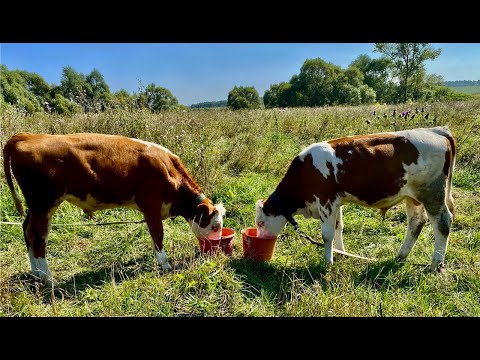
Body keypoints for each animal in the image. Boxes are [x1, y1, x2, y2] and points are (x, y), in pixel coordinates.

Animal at [3, 131, 225, 286]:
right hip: (44, 204)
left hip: (35, 207)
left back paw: (36, 273)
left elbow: (154, 238)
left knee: (26, 230)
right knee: (38, 237)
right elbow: (158, 235)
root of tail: (28, 136)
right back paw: (48, 279)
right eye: (214, 226)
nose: (213, 249)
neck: (170, 172)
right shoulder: (151, 207)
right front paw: (165, 264)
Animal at [256, 126, 456, 272]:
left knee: (442, 223)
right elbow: (338, 227)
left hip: (433, 193)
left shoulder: (325, 201)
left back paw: (435, 264)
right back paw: (401, 256)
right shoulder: (336, 202)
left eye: (261, 223)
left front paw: (327, 263)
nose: (259, 239)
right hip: (413, 197)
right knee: (416, 222)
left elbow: (326, 235)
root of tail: (436, 130)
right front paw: (340, 253)